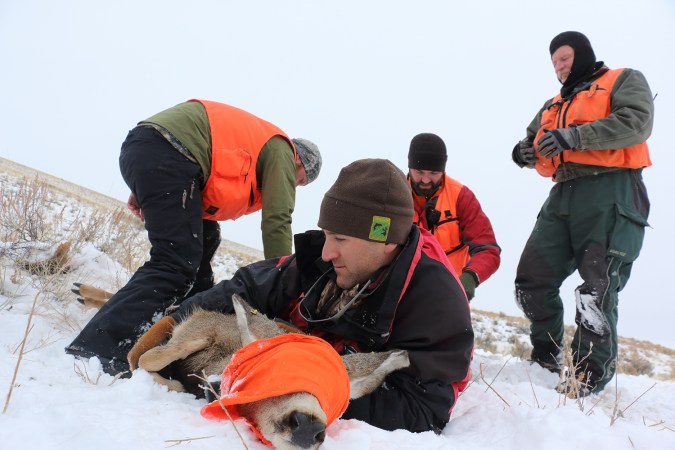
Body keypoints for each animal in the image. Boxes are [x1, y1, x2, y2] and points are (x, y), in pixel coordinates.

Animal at [74, 284, 412, 448]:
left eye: (336, 400)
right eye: (275, 365)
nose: (309, 426)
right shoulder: (203, 324)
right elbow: (146, 358)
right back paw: (82, 291)